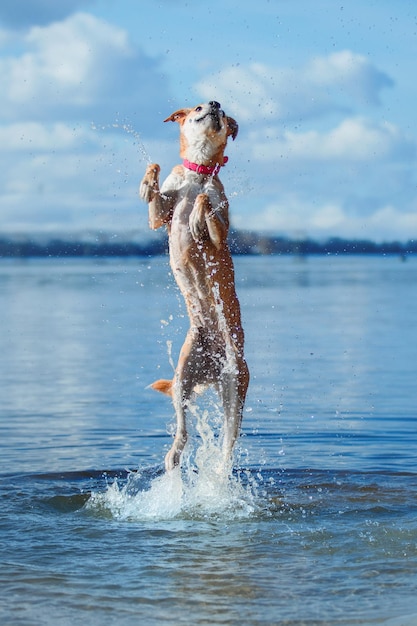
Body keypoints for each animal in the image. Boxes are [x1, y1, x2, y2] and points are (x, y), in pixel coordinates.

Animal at [140, 101, 249, 468]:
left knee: (228, 444)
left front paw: (201, 208)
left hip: (234, 386)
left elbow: (210, 213)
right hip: (183, 376)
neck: (198, 173)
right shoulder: (161, 214)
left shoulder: (220, 232)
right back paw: (174, 456)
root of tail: (213, 370)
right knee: (182, 431)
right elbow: (156, 196)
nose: (215, 103)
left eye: (223, 112)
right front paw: (149, 176)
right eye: (198, 107)